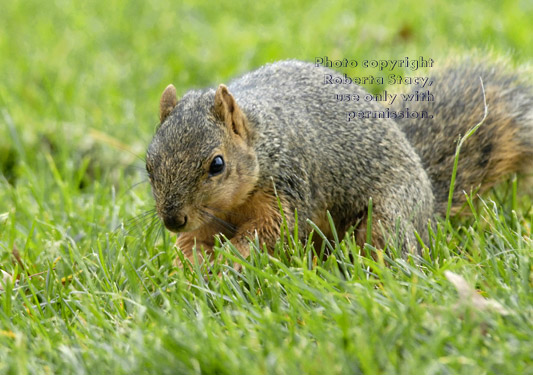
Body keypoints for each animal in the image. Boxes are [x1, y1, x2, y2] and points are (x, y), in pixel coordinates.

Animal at [145, 58, 532, 264]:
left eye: (217, 165)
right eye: (149, 166)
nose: (173, 220)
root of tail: (428, 203)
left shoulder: (289, 187)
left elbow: (272, 229)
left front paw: (234, 258)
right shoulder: (208, 218)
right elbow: (195, 242)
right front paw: (191, 263)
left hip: (388, 216)